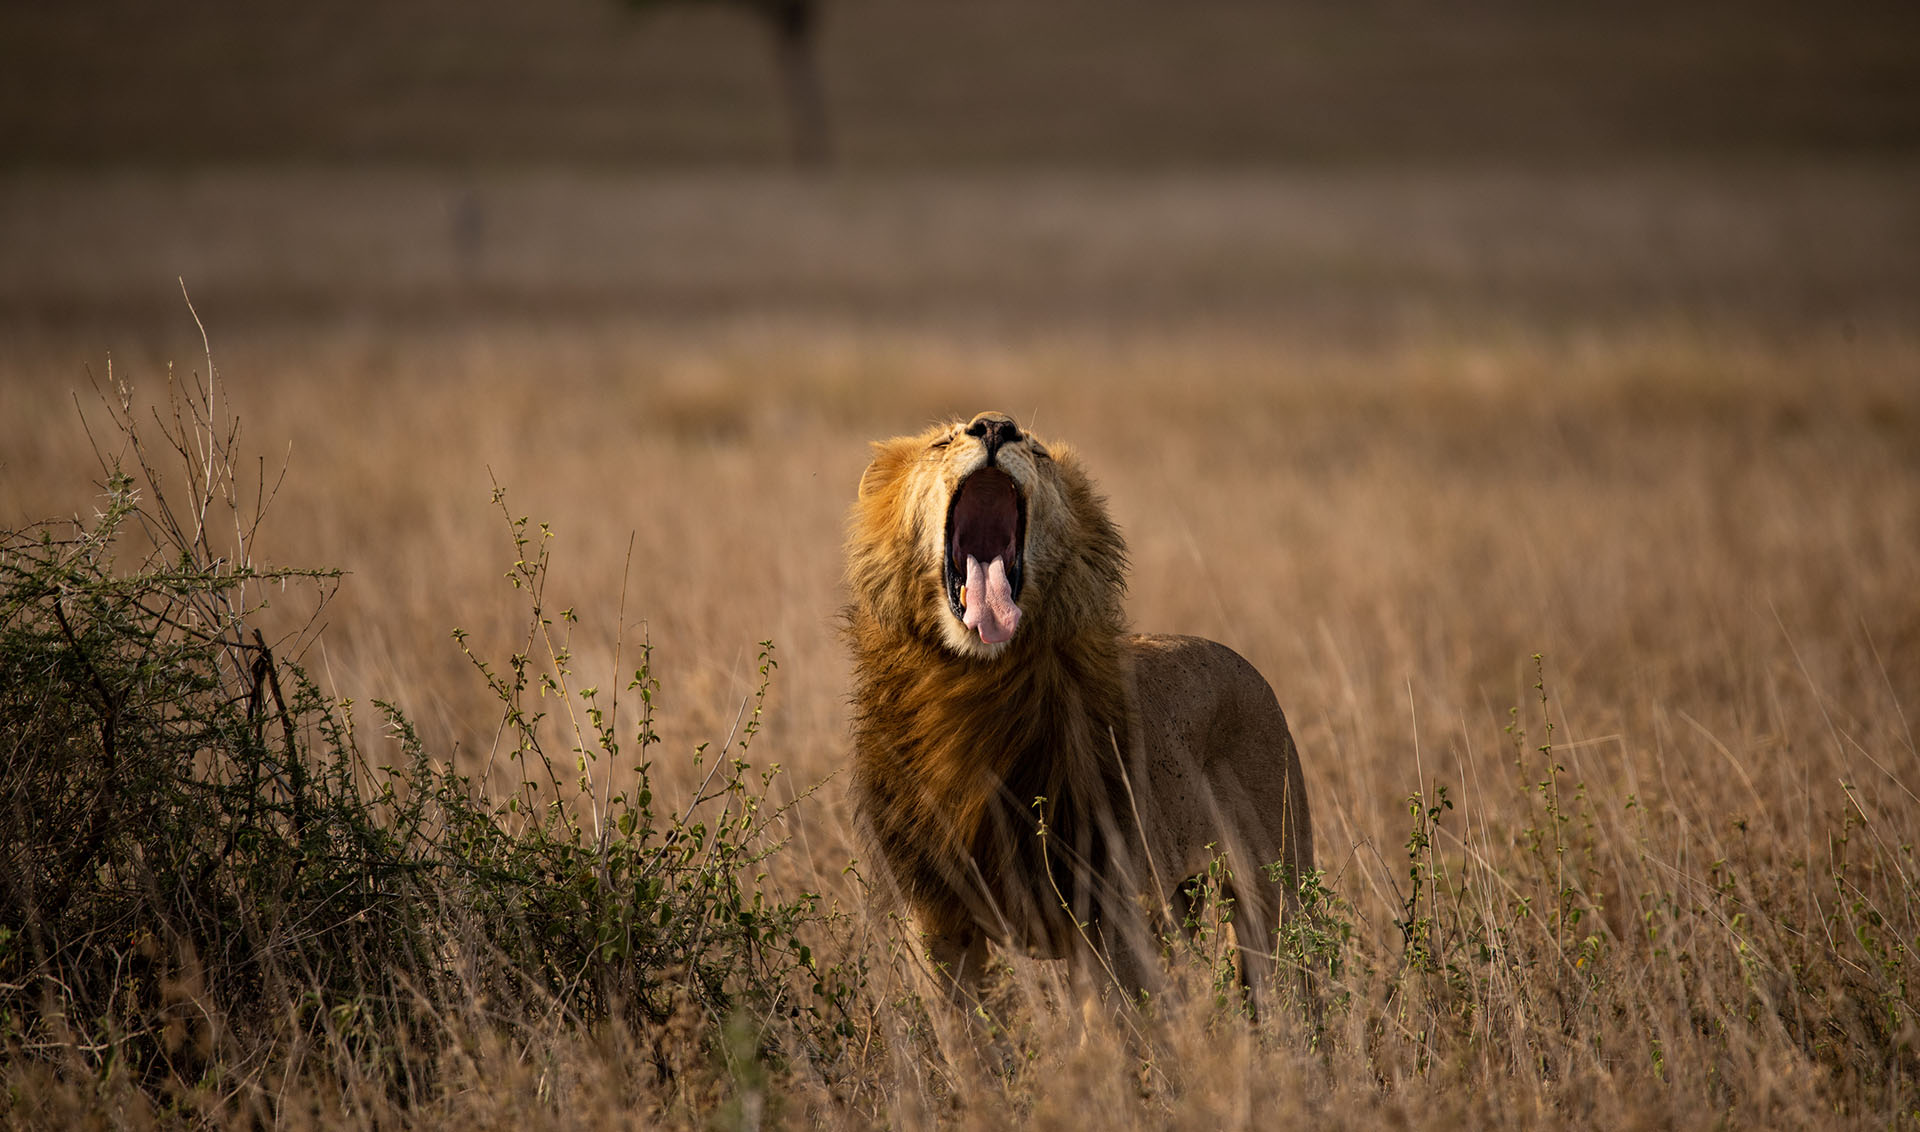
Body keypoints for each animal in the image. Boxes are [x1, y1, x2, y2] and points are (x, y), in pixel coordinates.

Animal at [848, 412, 1313, 1013]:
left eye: (1038, 452)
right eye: (941, 442)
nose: (994, 425)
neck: (972, 688)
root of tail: (1246, 665)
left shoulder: (1103, 912)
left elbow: (1106, 1024)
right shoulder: (935, 918)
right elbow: (962, 1031)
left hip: (1273, 889)